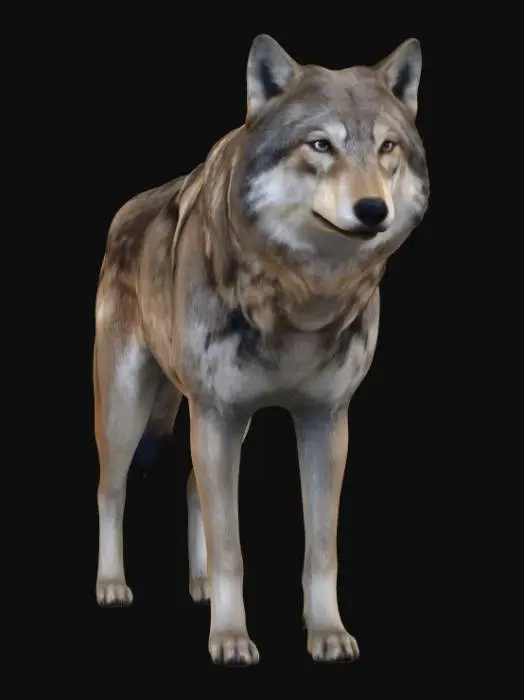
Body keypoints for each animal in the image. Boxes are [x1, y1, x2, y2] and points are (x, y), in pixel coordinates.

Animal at [93, 34, 429, 665]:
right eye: (320, 145)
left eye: (387, 147)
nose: (373, 210)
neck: (302, 301)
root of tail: (127, 209)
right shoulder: (218, 414)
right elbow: (232, 551)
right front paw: (230, 639)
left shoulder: (325, 420)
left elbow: (320, 551)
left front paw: (327, 633)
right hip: (129, 411)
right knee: (112, 489)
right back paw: (111, 584)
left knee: (192, 488)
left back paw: (198, 586)